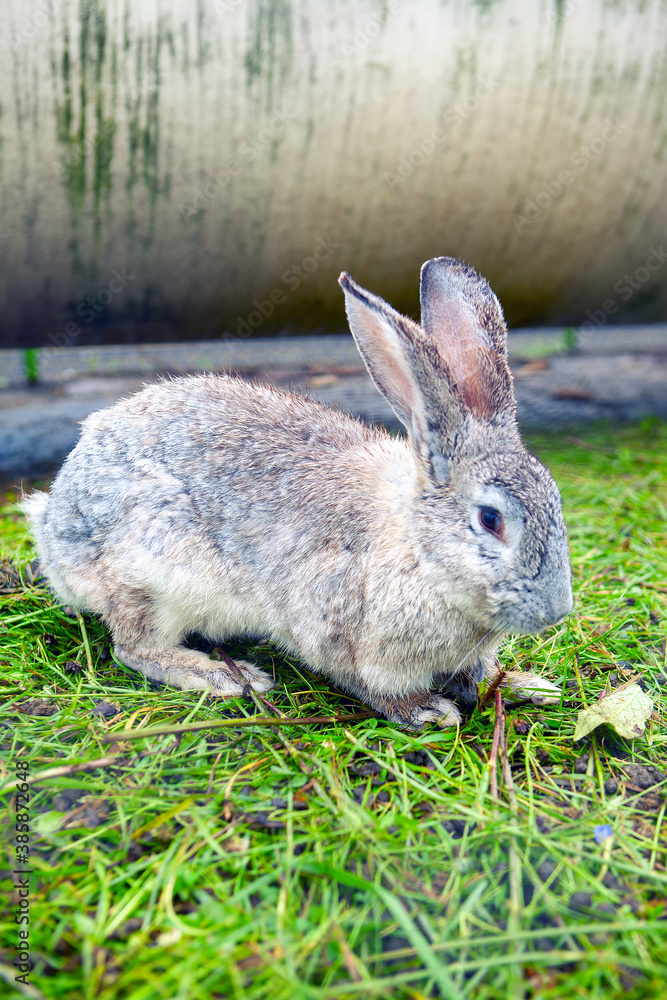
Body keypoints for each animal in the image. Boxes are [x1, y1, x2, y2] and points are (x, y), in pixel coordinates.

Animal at [23, 257, 573, 729]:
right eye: (490, 520)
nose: (557, 611)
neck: (418, 548)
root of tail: (53, 526)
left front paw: (527, 685)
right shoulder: (336, 628)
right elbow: (367, 683)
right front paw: (425, 709)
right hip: (154, 573)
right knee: (133, 646)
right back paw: (226, 676)